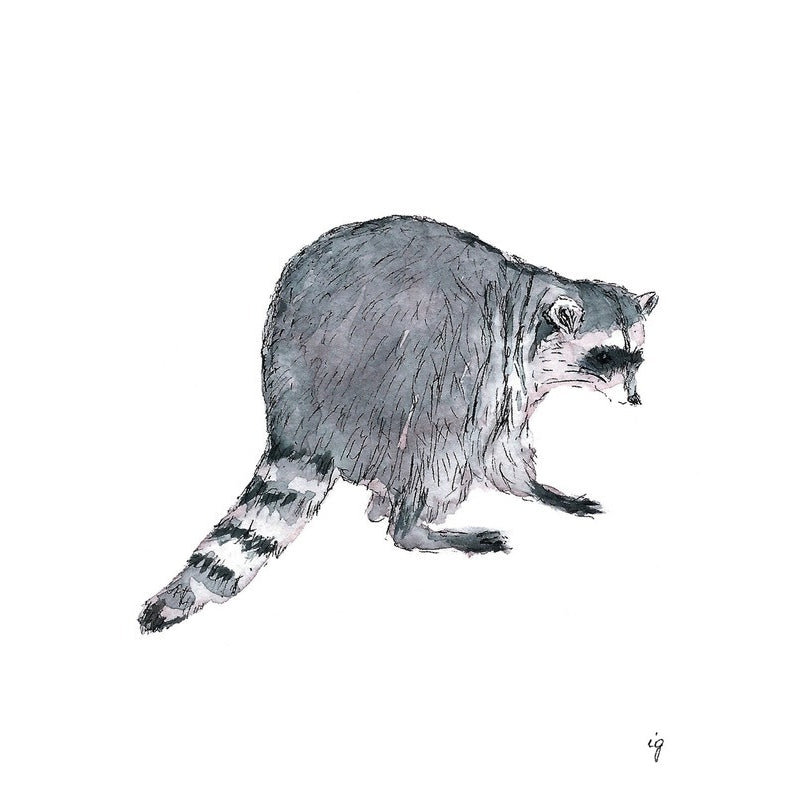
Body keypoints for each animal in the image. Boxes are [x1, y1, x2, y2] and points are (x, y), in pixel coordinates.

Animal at [139, 215, 658, 633]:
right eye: (605, 356)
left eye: (636, 358)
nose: (634, 399)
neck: (528, 305)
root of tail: (300, 416)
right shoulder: (494, 367)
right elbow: (484, 444)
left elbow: (503, 450)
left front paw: (542, 490)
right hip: (412, 387)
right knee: (439, 451)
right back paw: (415, 526)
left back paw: (387, 502)